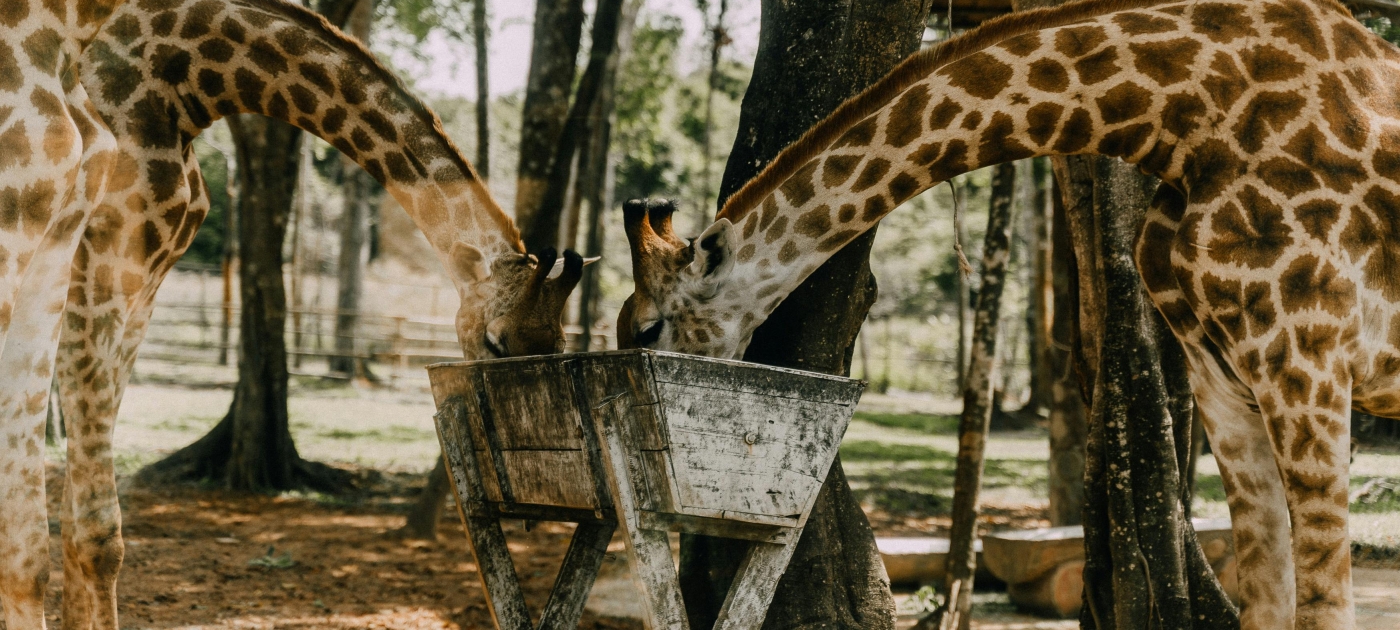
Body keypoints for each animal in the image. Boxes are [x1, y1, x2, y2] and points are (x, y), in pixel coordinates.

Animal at [0, 0, 588, 626]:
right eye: (498, 342)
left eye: (558, 346)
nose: (530, 502)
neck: (184, 81)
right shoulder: (101, 268)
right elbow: (89, 530)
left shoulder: (140, 287)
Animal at [620, 0, 1399, 627]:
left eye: (648, 328)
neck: (1181, 123)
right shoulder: (1224, 379)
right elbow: (1268, 602)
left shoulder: (1307, 361)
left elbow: (1324, 608)